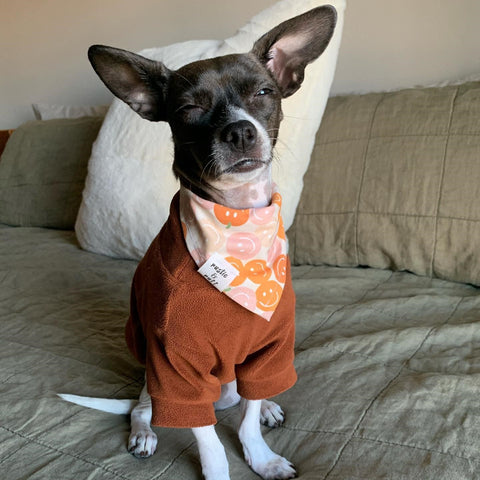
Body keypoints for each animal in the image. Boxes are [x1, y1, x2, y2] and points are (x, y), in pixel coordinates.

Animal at [60, 4, 336, 480]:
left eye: (264, 92)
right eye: (189, 108)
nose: (240, 131)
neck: (237, 224)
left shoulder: (267, 350)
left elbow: (246, 420)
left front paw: (262, 456)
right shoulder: (177, 366)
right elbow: (209, 443)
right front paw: (220, 468)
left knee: (240, 398)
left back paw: (265, 406)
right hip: (153, 373)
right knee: (143, 407)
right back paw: (144, 432)